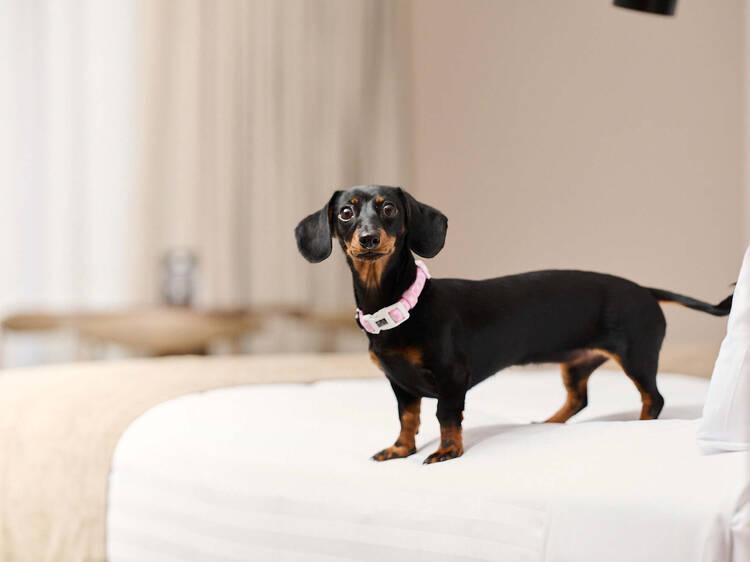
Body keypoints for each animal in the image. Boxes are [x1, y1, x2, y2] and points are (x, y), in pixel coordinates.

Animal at [294, 186, 736, 462]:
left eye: (389, 209)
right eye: (346, 212)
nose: (368, 238)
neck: (402, 305)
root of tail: (646, 289)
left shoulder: (452, 377)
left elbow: (445, 417)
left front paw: (447, 451)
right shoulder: (400, 383)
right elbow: (408, 418)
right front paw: (400, 449)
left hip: (637, 356)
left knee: (653, 398)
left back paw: (640, 426)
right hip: (577, 363)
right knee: (579, 400)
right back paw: (550, 424)